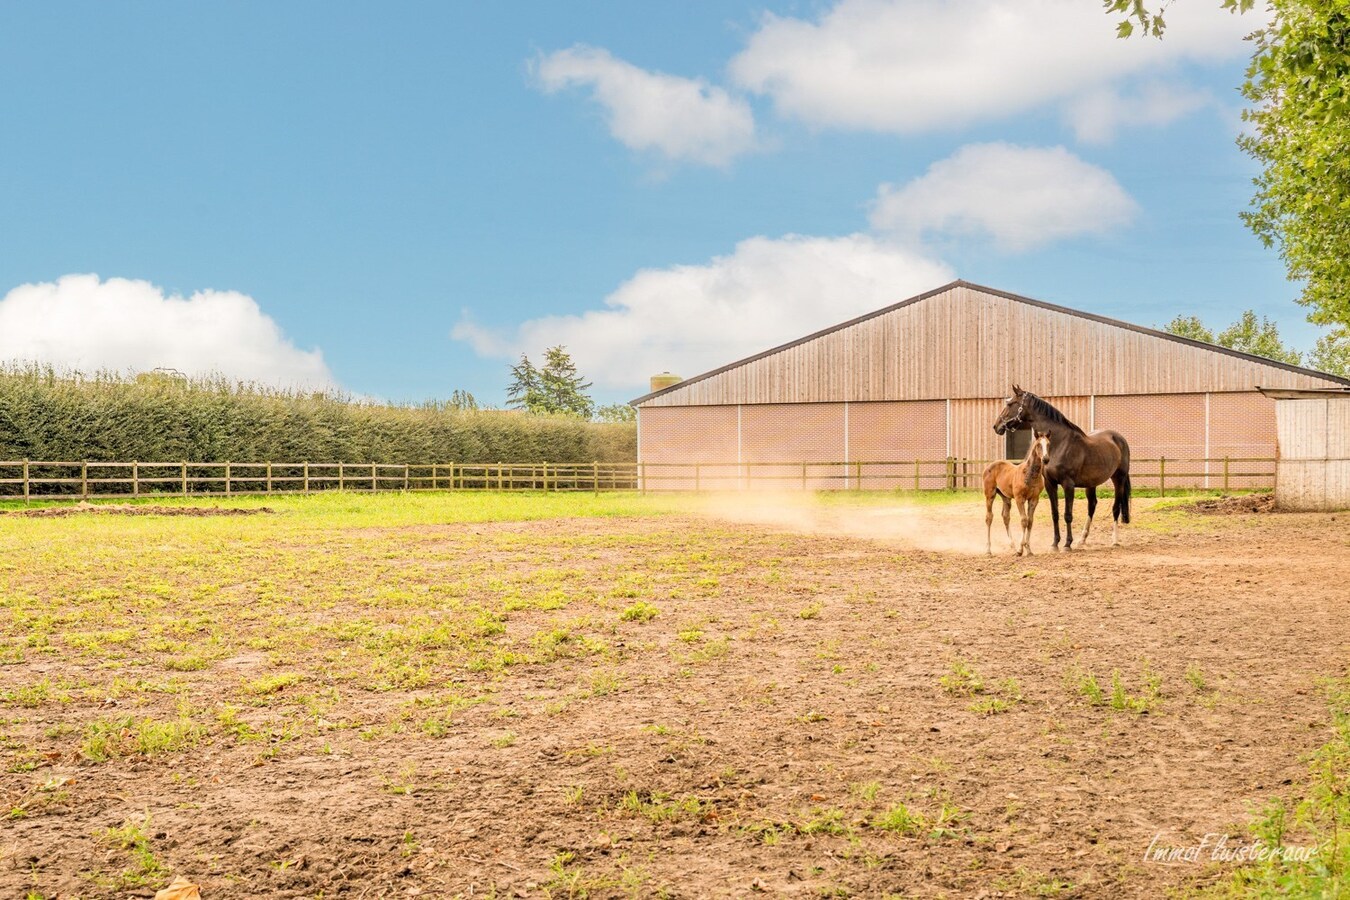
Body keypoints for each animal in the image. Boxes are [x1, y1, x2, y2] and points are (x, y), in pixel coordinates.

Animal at [993, 385, 1128, 550]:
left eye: (1010, 404)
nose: (996, 426)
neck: (1060, 443)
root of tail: (1118, 438)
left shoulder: (1068, 484)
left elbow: (1067, 515)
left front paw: (1067, 544)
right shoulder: (1050, 484)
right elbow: (1055, 513)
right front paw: (1055, 543)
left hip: (1119, 478)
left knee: (1116, 507)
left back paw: (1114, 540)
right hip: (1091, 484)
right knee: (1092, 505)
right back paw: (1082, 540)